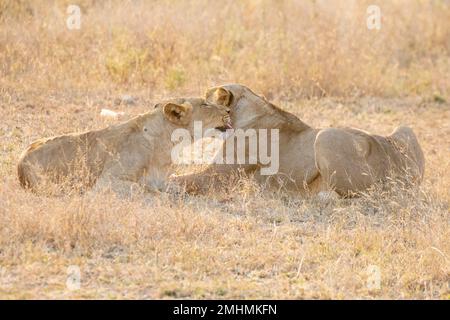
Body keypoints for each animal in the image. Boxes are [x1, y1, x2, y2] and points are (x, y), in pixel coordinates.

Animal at [16, 97, 232, 196]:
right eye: (205, 104)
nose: (229, 110)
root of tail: (20, 163)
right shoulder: (106, 181)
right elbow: (144, 189)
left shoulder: (162, 179)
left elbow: (176, 187)